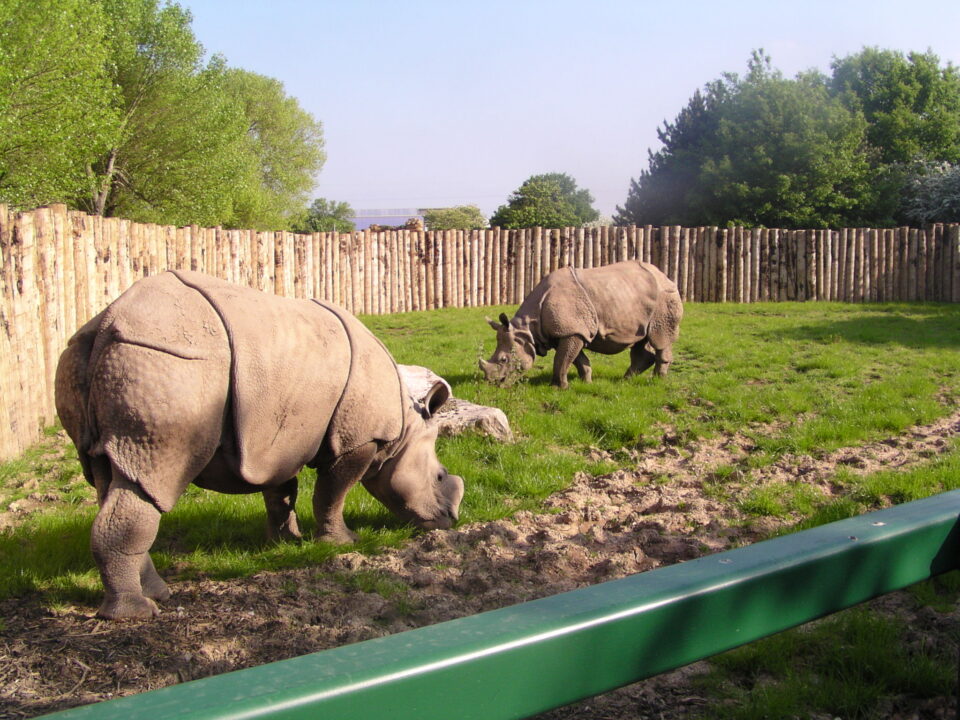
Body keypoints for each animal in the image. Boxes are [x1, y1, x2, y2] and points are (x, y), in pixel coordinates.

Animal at [55, 270, 464, 620]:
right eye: (440, 477)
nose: (450, 521)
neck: (404, 429)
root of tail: (108, 324)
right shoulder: (357, 440)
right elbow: (332, 493)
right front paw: (343, 543)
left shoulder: (277, 440)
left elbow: (281, 493)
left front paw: (286, 543)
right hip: (166, 362)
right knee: (151, 479)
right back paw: (136, 614)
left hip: (89, 359)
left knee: (108, 476)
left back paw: (158, 594)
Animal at [480, 261, 683, 388]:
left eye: (504, 360)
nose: (492, 383)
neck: (527, 330)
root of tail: (664, 275)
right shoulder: (569, 332)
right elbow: (576, 359)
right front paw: (586, 382)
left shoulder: (572, 331)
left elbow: (561, 360)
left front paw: (557, 387)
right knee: (641, 339)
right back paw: (625, 380)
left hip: (665, 296)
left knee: (659, 337)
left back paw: (657, 381)